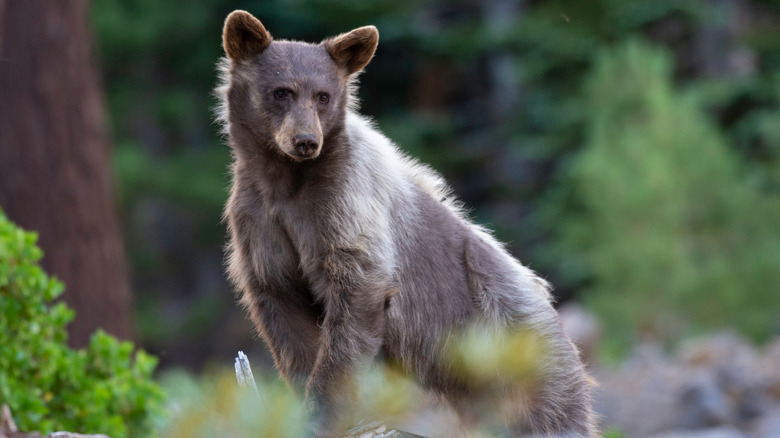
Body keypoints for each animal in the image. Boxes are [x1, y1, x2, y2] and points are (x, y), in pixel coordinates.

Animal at [216, 10, 596, 437]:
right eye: (281, 91)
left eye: (323, 96)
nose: (306, 141)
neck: (286, 180)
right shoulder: (258, 219)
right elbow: (283, 310)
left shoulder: (344, 201)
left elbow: (356, 290)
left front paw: (324, 409)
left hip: (522, 353)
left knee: (552, 418)